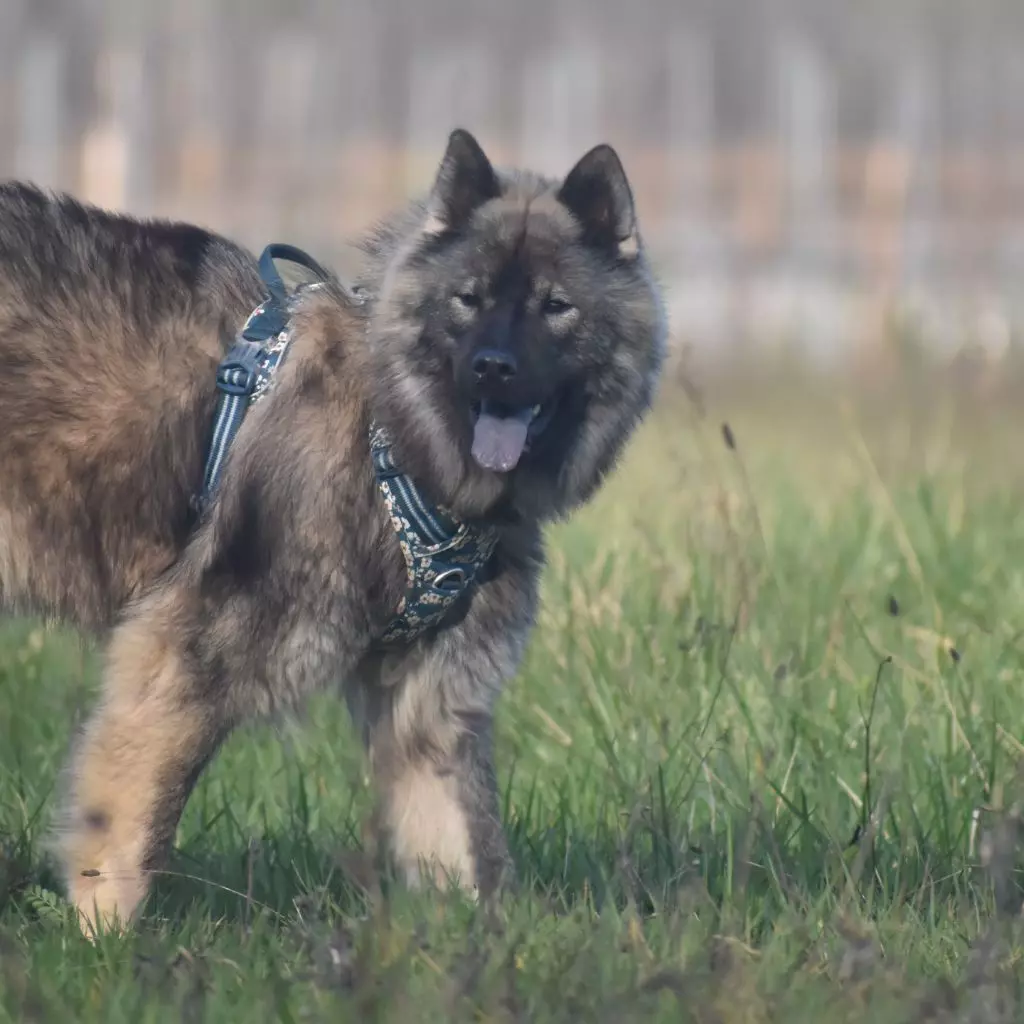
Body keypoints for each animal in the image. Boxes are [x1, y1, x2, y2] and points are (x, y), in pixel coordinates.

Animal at [0, 123, 667, 933]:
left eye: (555, 306)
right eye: (468, 299)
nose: (492, 367)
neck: (393, 437)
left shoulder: (431, 706)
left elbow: (466, 850)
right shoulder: (181, 653)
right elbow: (131, 825)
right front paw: (103, 942)